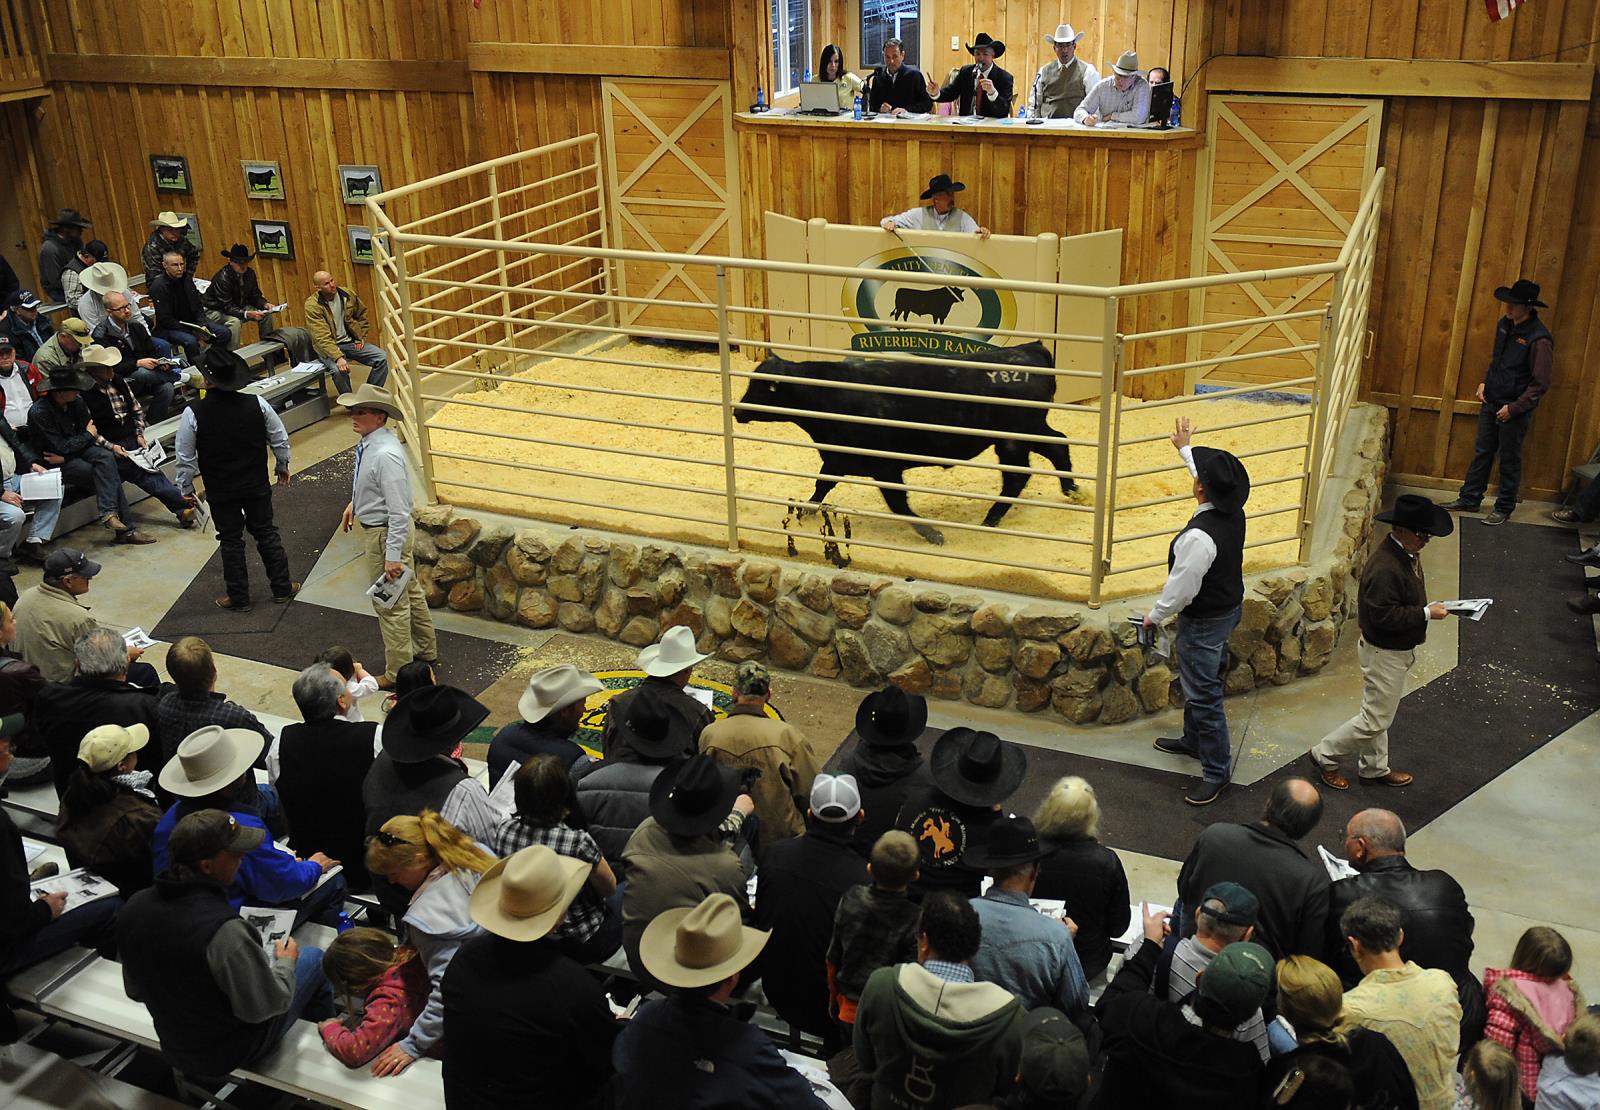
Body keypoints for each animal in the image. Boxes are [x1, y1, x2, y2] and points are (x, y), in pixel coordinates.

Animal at [736, 340, 1075, 547]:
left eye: (760, 388)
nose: (737, 411)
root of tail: (1029, 349)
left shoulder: (884, 467)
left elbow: (898, 503)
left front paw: (932, 533)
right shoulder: (837, 459)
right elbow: (822, 485)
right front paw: (806, 509)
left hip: (1014, 440)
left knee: (1018, 476)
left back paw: (990, 520)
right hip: (1026, 434)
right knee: (1057, 445)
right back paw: (1072, 490)